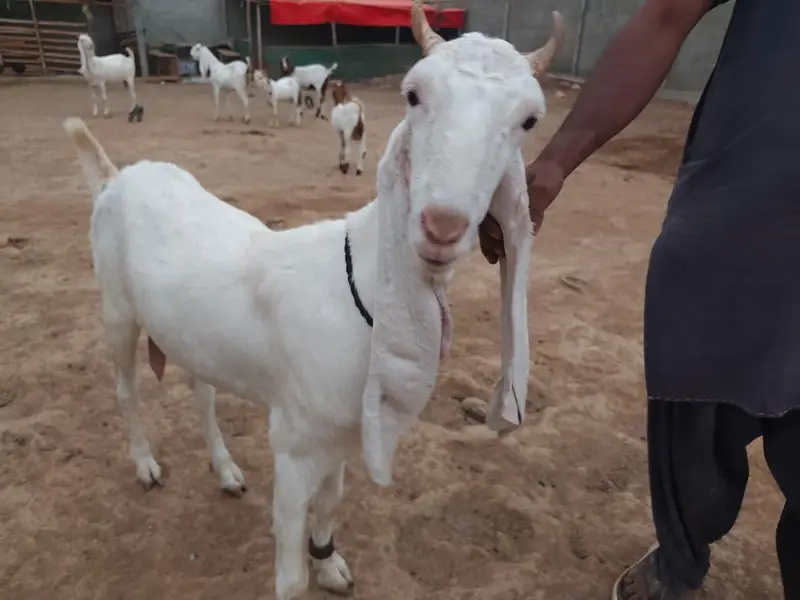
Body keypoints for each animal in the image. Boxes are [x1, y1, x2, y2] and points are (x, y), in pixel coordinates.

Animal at [62, 2, 563, 598]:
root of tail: (115, 178)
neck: (359, 288)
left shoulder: (342, 429)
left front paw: (330, 561)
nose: (442, 226)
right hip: (117, 308)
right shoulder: (295, 443)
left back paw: (226, 471)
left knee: (202, 393)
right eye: (413, 94)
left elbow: (333, 500)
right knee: (125, 390)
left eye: (529, 119)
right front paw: (309, 568)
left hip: (190, 333)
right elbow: (290, 573)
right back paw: (145, 466)